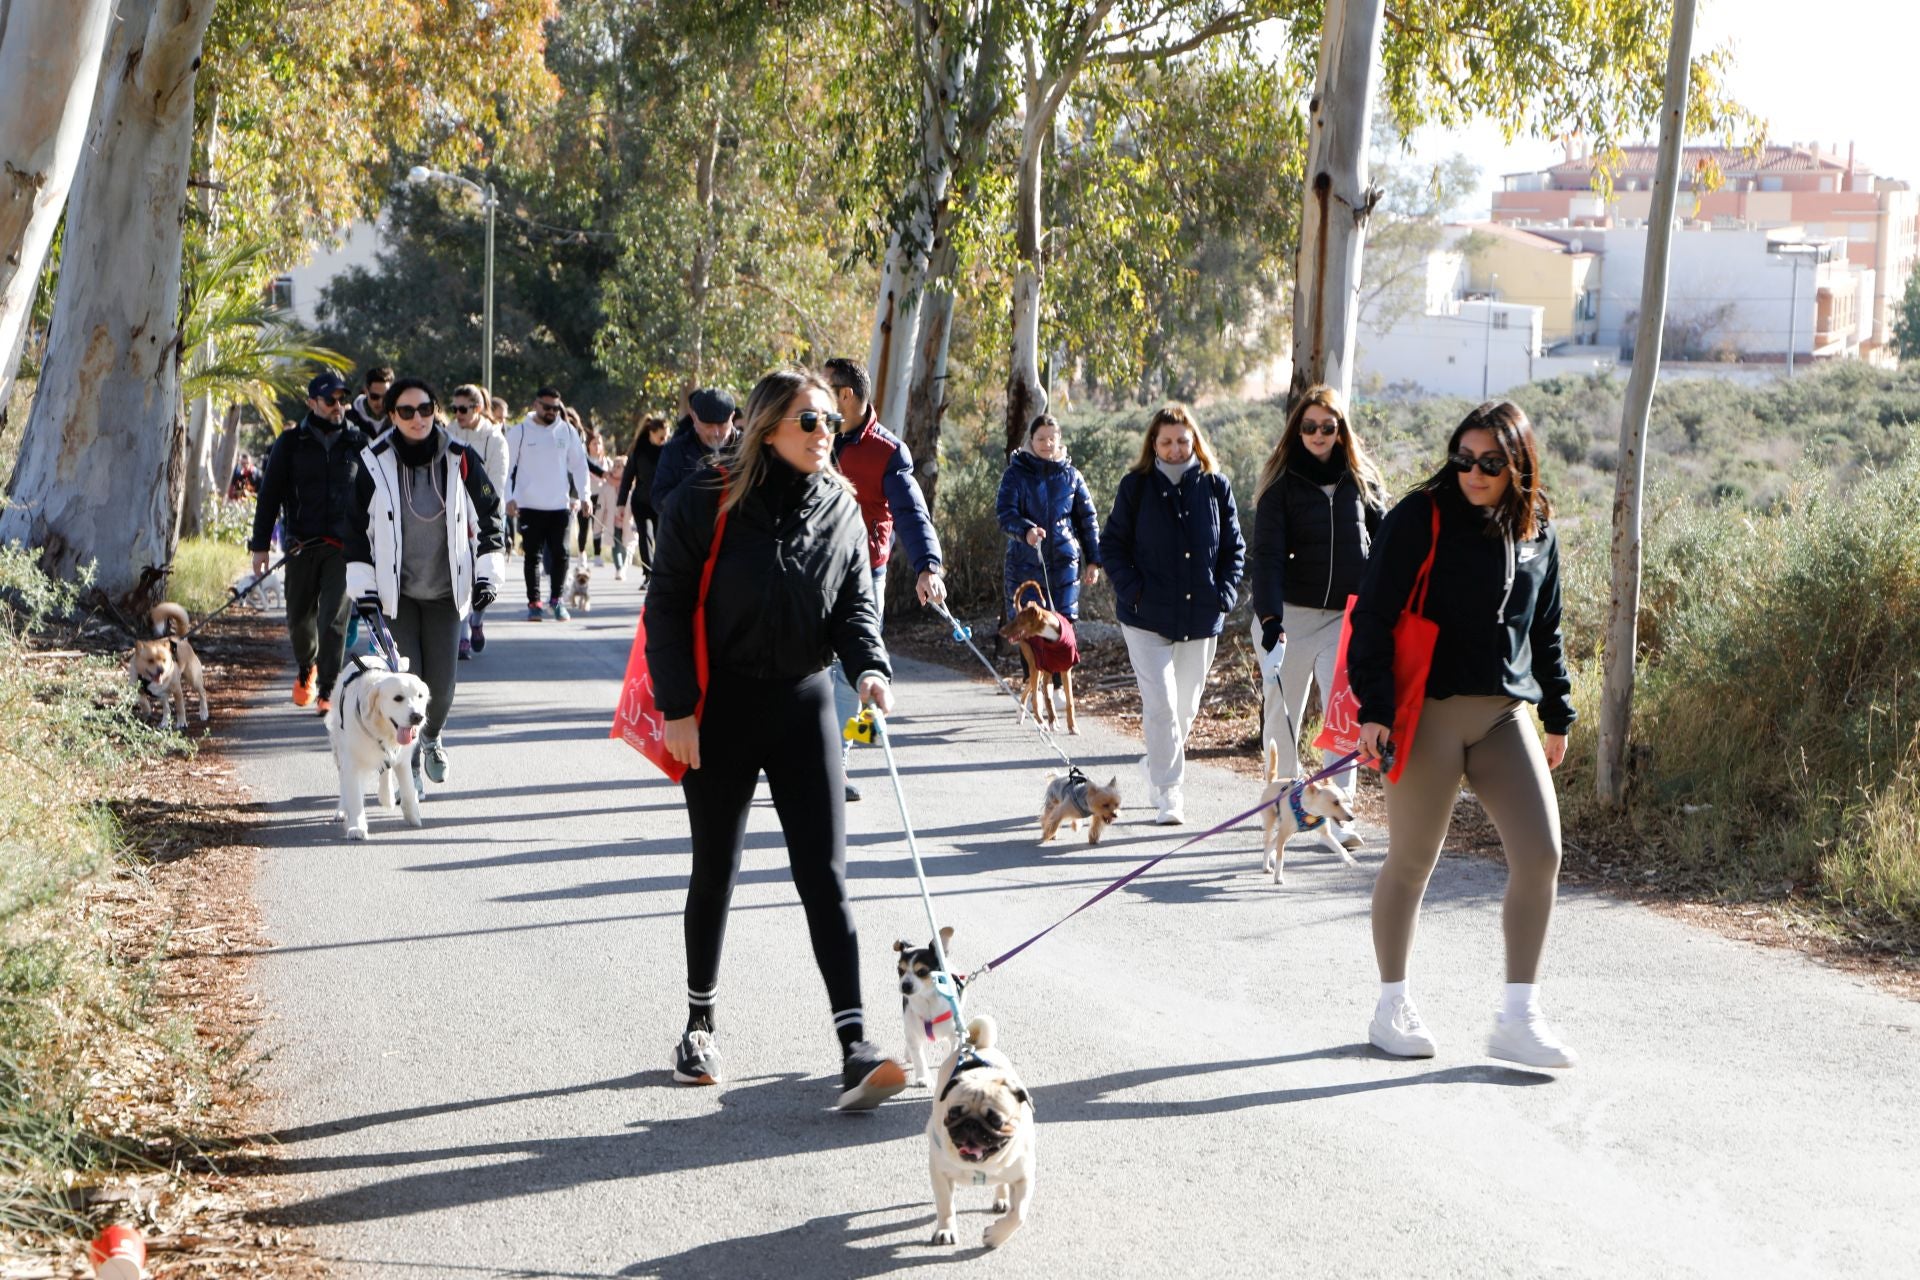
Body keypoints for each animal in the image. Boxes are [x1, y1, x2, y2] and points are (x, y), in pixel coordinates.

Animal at [1006, 598, 1082, 736]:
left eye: (1019, 621)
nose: (1001, 631)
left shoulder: (1065, 671)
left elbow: (1069, 702)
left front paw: (1072, 727)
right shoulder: (1046, 671)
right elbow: (1046, 699)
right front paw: (1049, 722)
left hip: (1039, 671)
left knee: (1030, 690)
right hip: (1035, 668)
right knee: (1032, 694)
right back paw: (1026, 716)